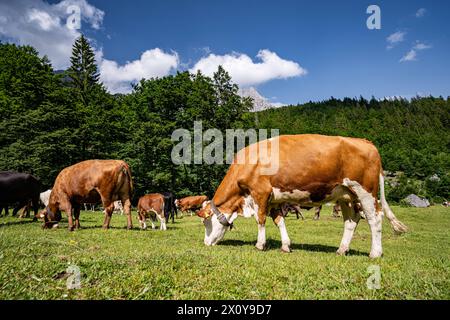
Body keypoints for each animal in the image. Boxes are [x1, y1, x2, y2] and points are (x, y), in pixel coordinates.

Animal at [197, 134, 408, 258]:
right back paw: (341, 249)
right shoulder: (274, 198)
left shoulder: (260, 192)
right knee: (351, 221)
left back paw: (375, 253)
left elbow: (261, 219)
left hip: (365, 191)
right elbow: (279, 221)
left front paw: (259, 244)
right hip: (346, 195)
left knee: (375, 219)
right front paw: (285, 246)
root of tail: (365, 141)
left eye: (206, 222)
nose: (206, 243)